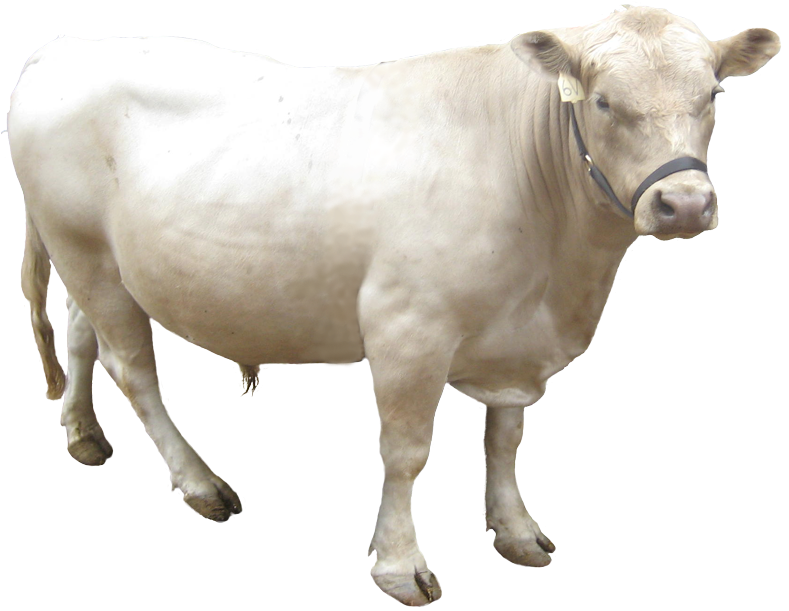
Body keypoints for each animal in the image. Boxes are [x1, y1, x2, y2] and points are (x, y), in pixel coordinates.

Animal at [9, 5, 780, 606]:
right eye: (602, 103)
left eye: (712, 95)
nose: (684, 203)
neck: (557, 276)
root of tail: (68, 46)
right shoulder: (408, 327)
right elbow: (406, 452)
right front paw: (401, 564)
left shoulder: (515, 337)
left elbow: (505, 438)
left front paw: (516, 529)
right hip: (87, 250)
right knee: (134, 369)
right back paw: (201, 484)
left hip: (93, 257)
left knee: (82, 335)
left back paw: (83, 434)